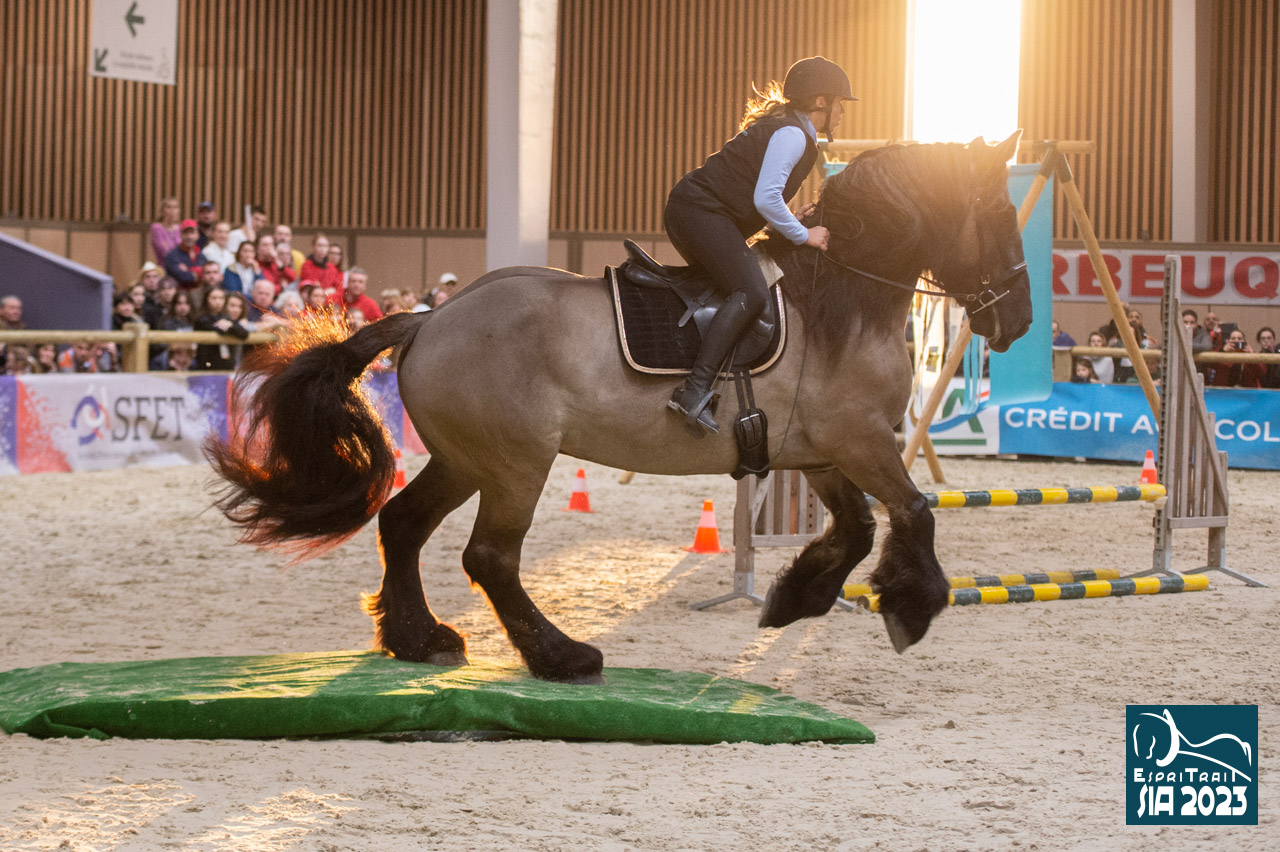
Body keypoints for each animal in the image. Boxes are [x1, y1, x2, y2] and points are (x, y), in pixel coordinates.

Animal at [207, 131, 1029, 685]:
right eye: (997, 213)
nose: (1017, 321)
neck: (843, 299)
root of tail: (430, 319)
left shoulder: (822, 451)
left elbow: (858, 528)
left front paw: (794, 597)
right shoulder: (860, 442)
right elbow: (914, 511)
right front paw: (910, 607)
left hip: (466, 459)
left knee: (404, 524)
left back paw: (422, 639)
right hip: (516, 463)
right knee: (489, 557)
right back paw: (562, 655)